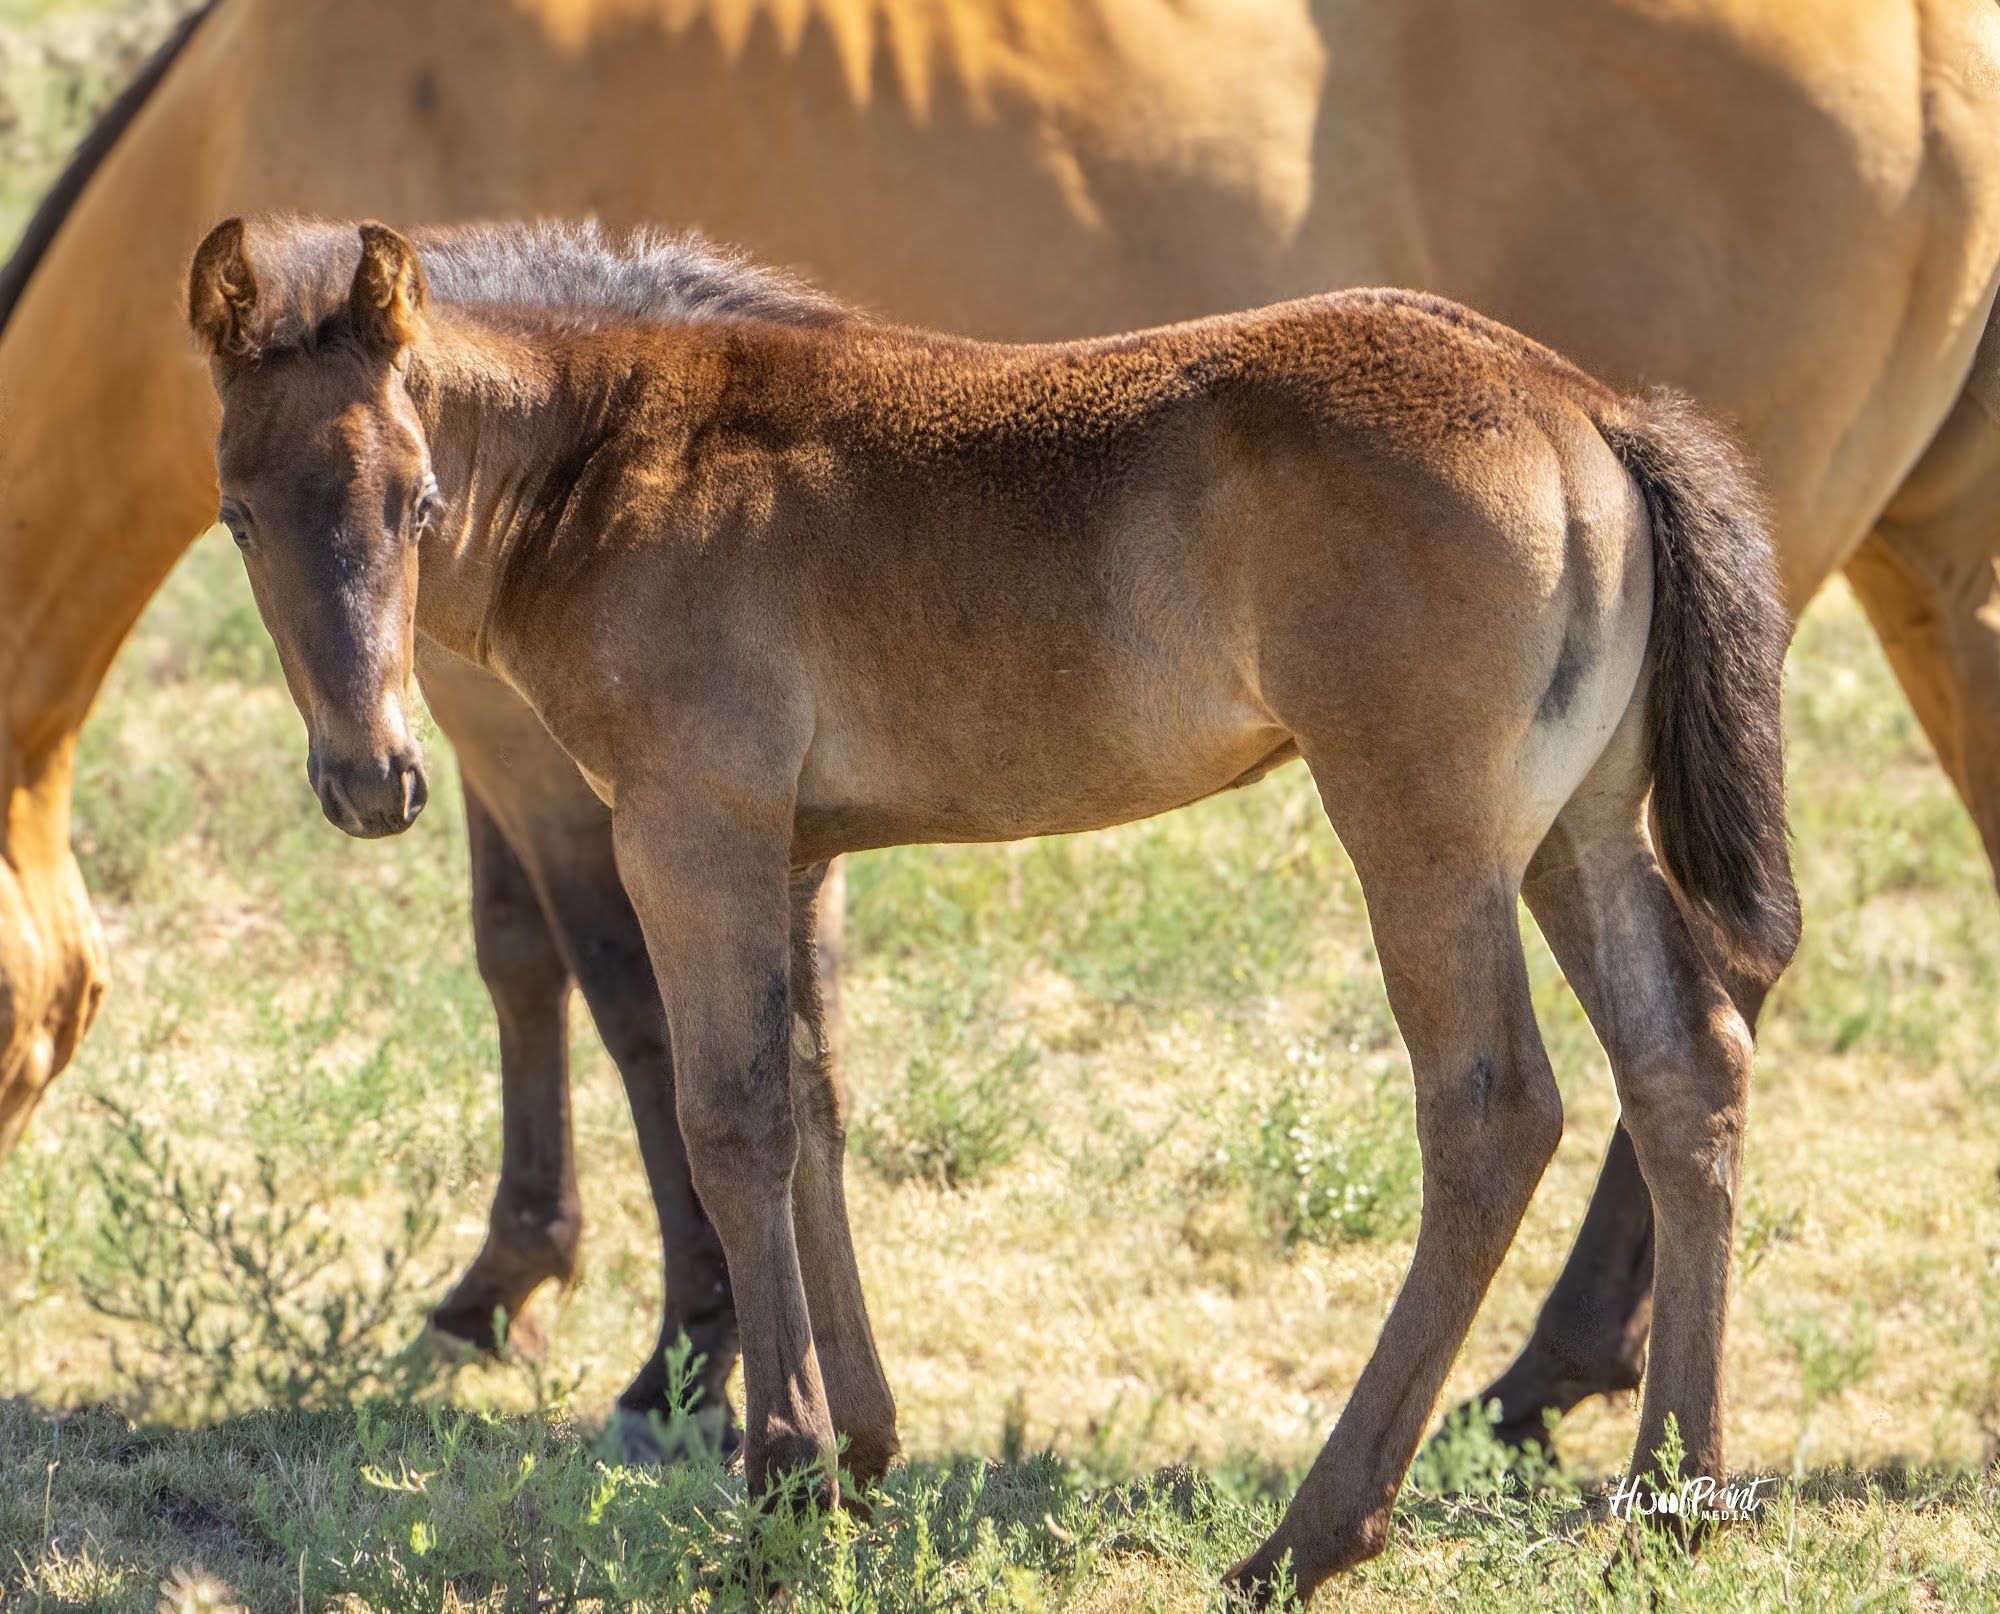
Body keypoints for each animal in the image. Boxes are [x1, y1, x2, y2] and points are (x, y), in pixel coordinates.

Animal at [185, 211, 1798, 1599]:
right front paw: (854, 1450)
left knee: (1492, 1112)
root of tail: (1587, 409)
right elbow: (817, 1100)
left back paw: (1306, 1538)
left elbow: (733, 1117)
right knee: (1686, 1070)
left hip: (1422, 832)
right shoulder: (797, 852)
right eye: (238, 517)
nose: (373, 778)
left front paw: (778, 1483)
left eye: (417, 503)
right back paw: (1668, 1508)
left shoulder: (690, 828)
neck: (621, 458)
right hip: (1576, 831)